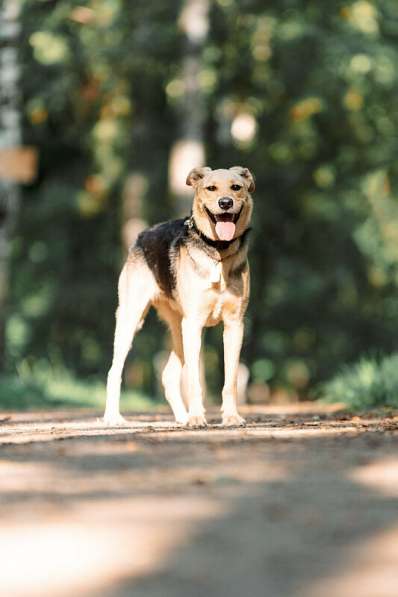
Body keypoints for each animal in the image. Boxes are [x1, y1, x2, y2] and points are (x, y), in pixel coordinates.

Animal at [104, 165, 253, 426]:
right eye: (211, 188)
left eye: (236, 187)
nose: (225, 203)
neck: (217, 253)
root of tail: (142, 234)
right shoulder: (194, 324)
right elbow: (193, 380)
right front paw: (197, 418)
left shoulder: (234, 325)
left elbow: (231, 380)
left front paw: (231, 417)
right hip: (131, 319)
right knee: (114, 371)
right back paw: (113, 417)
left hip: (177, 329)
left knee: (168, 376)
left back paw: (182, 418)